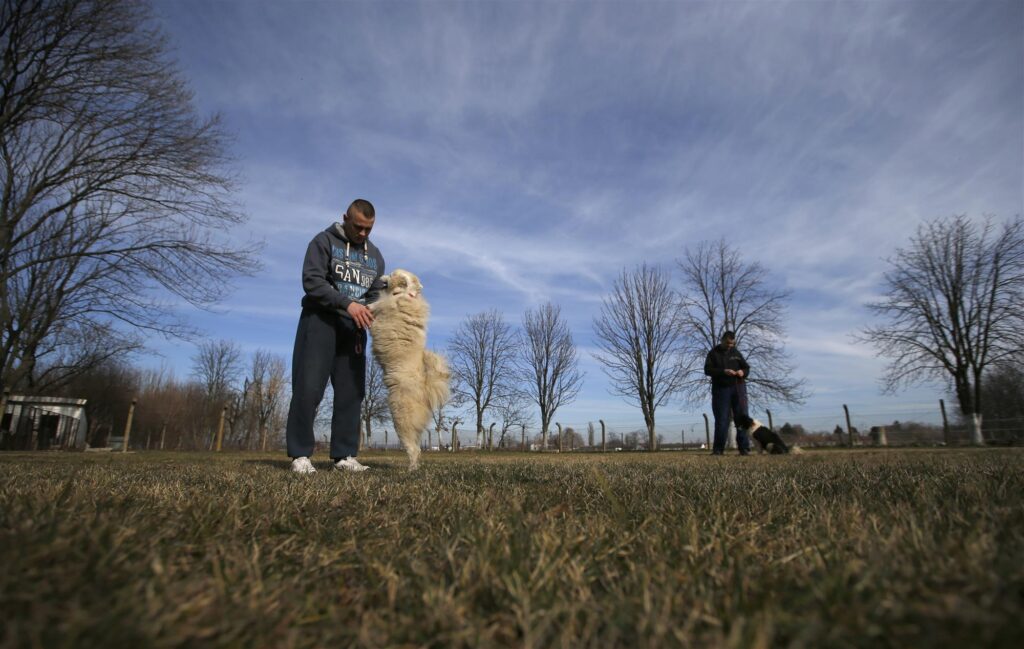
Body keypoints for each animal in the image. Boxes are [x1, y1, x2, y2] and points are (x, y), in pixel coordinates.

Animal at [368, 268, 448, 470]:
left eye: (391, 274)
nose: (380, 277)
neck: (404, 294)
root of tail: (426, 390)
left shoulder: (385, 306)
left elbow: (376, 305)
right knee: (417, 449)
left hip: (401, 420)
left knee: (413, 449)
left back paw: (410, 469)